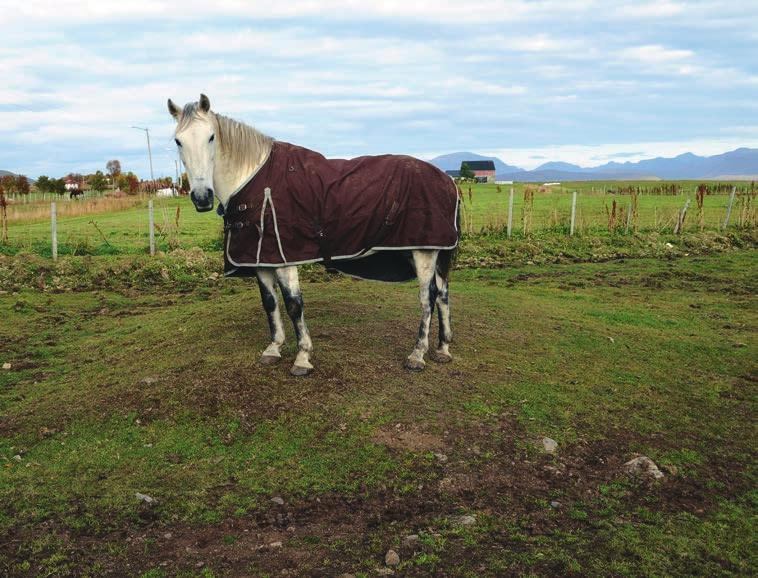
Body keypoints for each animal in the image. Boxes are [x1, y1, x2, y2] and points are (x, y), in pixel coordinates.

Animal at [168, 93, 460, 374]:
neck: (254, 180)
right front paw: (273, 348)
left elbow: (293, 304)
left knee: (427, 297)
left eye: (211, 137)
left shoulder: (284, 259)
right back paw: (443, 349)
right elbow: (270, 303)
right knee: (443, 293)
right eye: (178, 141)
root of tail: (447, 180)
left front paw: (302, 357)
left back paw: (417, 354)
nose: (202, 198)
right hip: (428, 251)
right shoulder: (261, 260)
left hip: (424, 251)